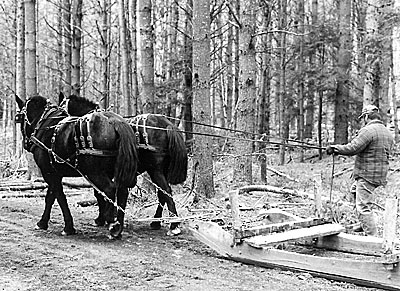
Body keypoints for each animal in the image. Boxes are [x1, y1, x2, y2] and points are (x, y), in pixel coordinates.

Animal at [15, 95, 138, 240]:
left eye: (20, 118)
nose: (25, 144)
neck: (44, 124)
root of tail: (115, 121)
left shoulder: (49, 172)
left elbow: (59, 197)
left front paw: (67, 227)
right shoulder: (55, 173)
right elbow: (51, 196)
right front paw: (44, 222)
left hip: (95, 173)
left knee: (110, 189)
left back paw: (113, 223)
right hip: (113, 170)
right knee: (122, 191)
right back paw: (118, 225)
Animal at [59, 93, 189, 237]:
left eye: (61, 107)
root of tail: (167, 124)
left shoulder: (98, 171)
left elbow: (100, 193)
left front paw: (102, 219)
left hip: (155, 170)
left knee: (166, 192)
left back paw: (173, 225)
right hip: (161, 170)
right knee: (163, 194)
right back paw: (156, 222)